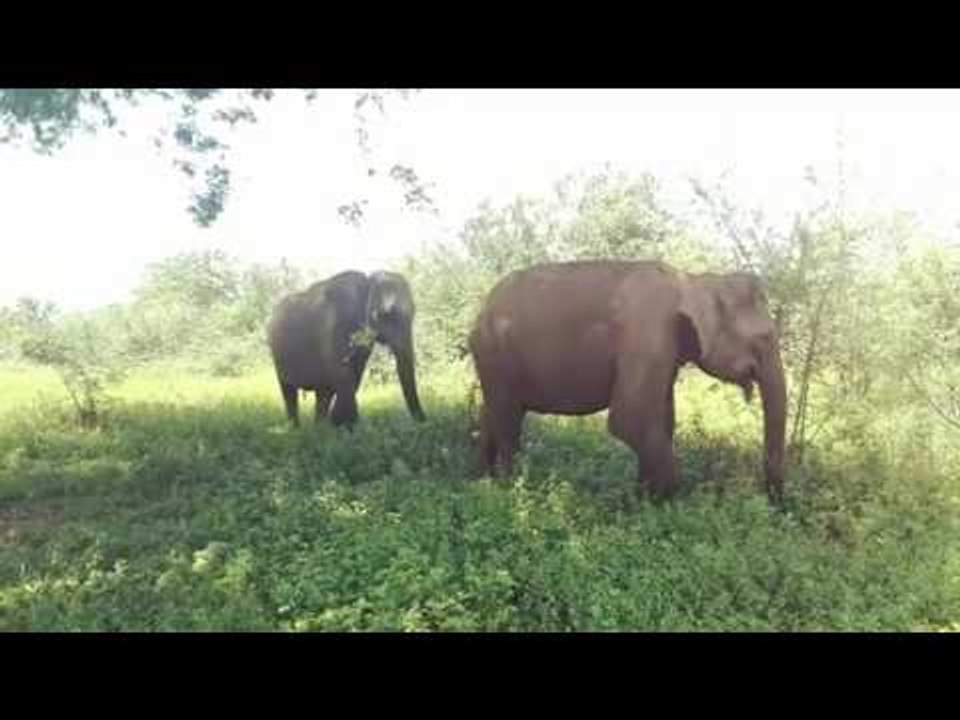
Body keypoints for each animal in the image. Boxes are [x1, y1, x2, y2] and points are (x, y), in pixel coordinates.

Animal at [267, 270, 426, 427]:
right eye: (387, 314)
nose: (423, 422)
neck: (367, 282)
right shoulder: (333, 325)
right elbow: (343, 373)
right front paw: (345, 426)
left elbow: (355, 374)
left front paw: (340, 424)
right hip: (276, 353)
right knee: (289, 392)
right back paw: (295, 429)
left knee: (323, 394)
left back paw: (320, 427)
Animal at [468, 259, 787, 505]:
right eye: (764, 339)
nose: (775, 505)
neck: (692, 280)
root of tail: (481, 311)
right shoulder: (647, 336)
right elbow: (629, 420)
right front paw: (666, 500)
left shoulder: (664, 351)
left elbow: (662, 419)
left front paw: (643, 500)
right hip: (494, 353)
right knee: (508, 422)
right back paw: (511, 490)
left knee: (490, 414)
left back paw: (483, 482)